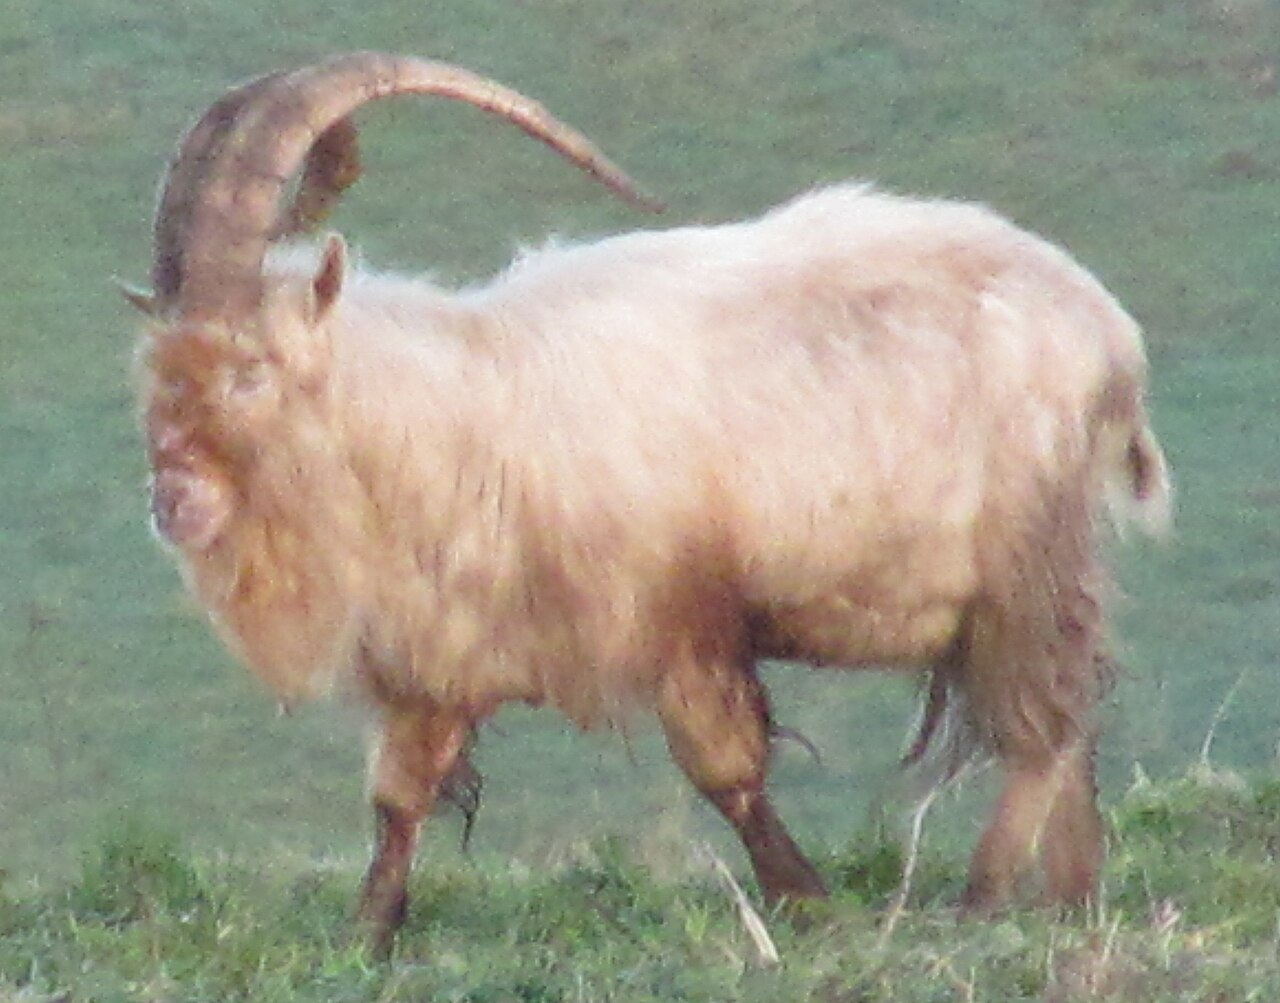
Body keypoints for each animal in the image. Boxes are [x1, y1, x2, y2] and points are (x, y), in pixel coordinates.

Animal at [127, 52, 1171, 958]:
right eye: (154, 374)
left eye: (252, 372)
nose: (174, 504)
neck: (462, 414)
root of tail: (1104, 328)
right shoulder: (442, 654)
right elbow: (400, 795)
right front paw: (366, 938)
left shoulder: (680, 621)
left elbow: (727, 769)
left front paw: (810, 906)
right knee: (1067, 730)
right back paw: (1070, 902)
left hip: (1024, 562)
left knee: (1041, 728)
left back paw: (980, 901)